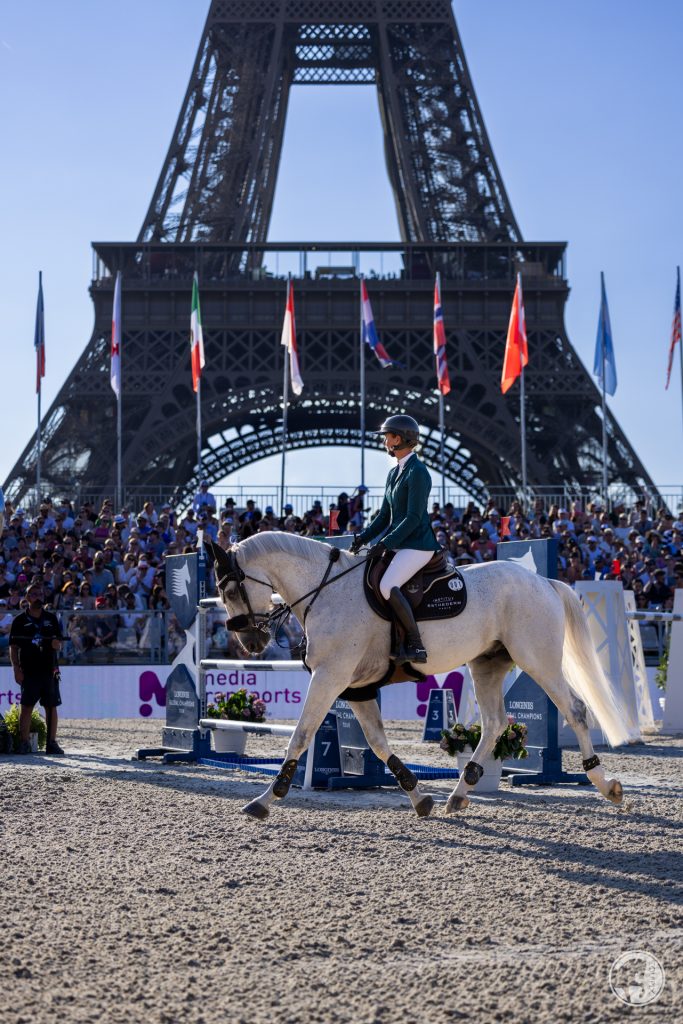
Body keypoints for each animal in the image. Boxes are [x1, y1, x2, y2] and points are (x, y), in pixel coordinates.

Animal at [204, 532, 630, 819]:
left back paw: (605, 784)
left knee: (575, 710)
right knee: (494, 723)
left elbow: (301, 736)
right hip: (487, 664)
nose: (251, 642)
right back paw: (460, 792)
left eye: (231, 590)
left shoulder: (329, 677)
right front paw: (419, 797)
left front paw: (266, 798)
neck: (326, 591)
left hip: (538, 659)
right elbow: (377, 744)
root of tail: (544, 582)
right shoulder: (357, 688)